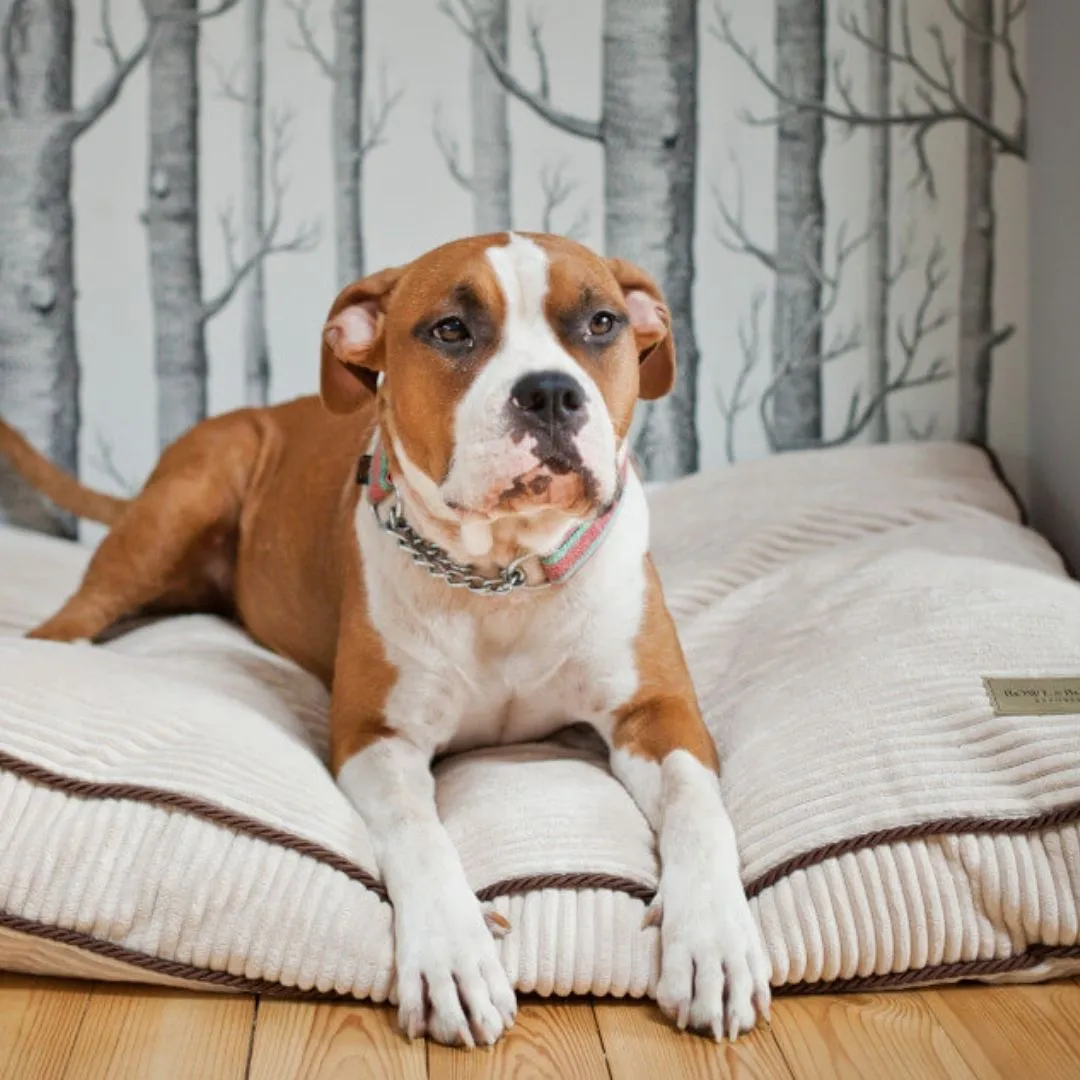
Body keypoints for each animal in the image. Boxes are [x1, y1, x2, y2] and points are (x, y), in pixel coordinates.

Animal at [2, 232, 777, 1041]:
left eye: (600, 323)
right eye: (451, 330)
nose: (550, 393)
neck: (502, 573)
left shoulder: (659, 715)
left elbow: (698, 807)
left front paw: (714, 938)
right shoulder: (376, 737)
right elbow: (418, 831)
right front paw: (455, 954)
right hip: (186, 496)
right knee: (75, 615)